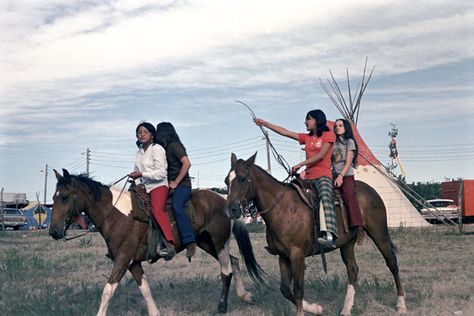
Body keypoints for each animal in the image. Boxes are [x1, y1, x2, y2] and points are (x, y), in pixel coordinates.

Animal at [48, 170, 262, 316]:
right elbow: (145, 289)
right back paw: (245, 296)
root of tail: (226, 199)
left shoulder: (123, 259)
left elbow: (107, 290)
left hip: (219, 241)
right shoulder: (133, 262)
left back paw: (222, 306)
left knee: (227, 270)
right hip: (206, 243)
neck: (117, 215)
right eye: (53, 198)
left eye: (65, 197)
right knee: (234, 261)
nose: (54, 231)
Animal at [226, 154, 408, 316]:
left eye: (242, 178)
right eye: (227, 181)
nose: (232, 209)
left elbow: (298, 289)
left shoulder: (297, 255)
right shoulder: (283, 256)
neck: (282, 207)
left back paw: (401, 305)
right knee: (353, 270)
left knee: (392, 262)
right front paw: (315, 308)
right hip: (347, 243)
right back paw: (346, 309)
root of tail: (371, 191)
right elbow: (285, 289)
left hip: (379, 233)